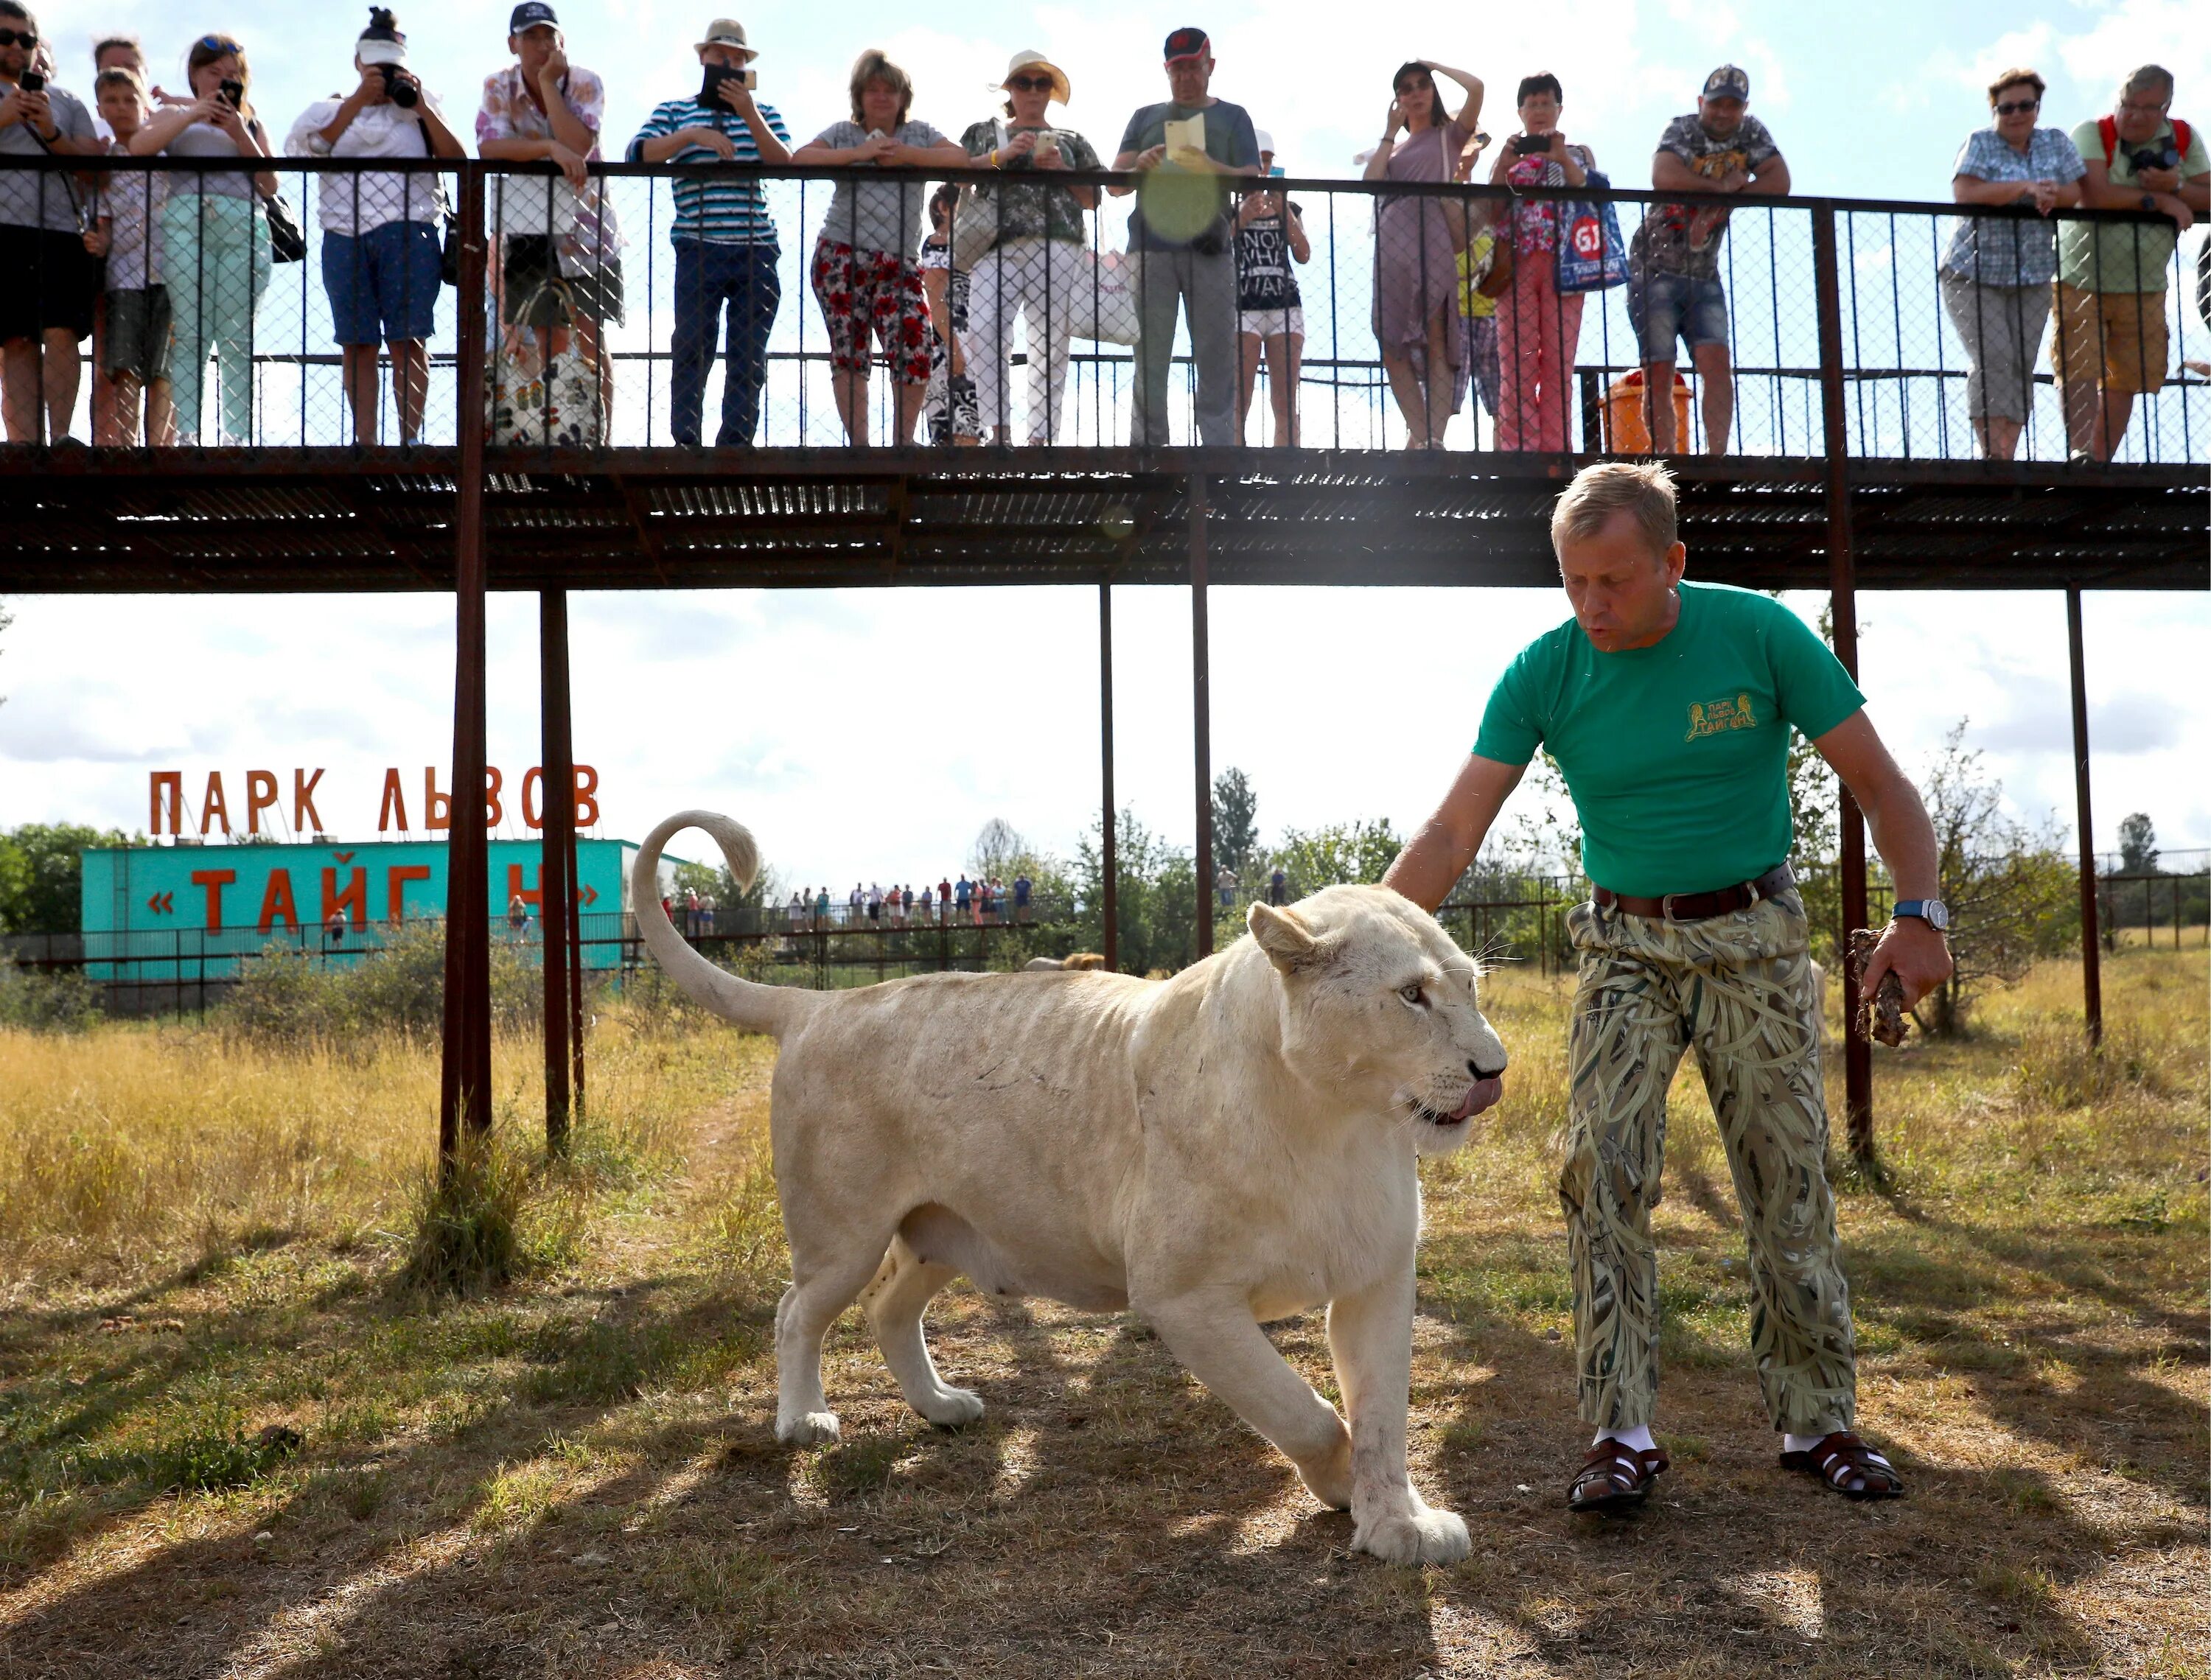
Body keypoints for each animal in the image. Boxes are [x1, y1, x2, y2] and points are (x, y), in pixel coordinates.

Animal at [632, 809, 1512, 1565]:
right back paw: (805, 1420)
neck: (1337, 1126)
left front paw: (1399, 1526)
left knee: (887, 1310)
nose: (1493, 1071)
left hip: (942, 1232)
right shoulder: (1185, 1298)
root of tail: (818, 1003)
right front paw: (1338, 1486)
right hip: (842, 1234)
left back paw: (942, 1408)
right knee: (796, 1313)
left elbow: (1384, 1418)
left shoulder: (1377, 1278)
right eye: (1411, 995)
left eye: (1469, 986)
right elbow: (1310, 1416)